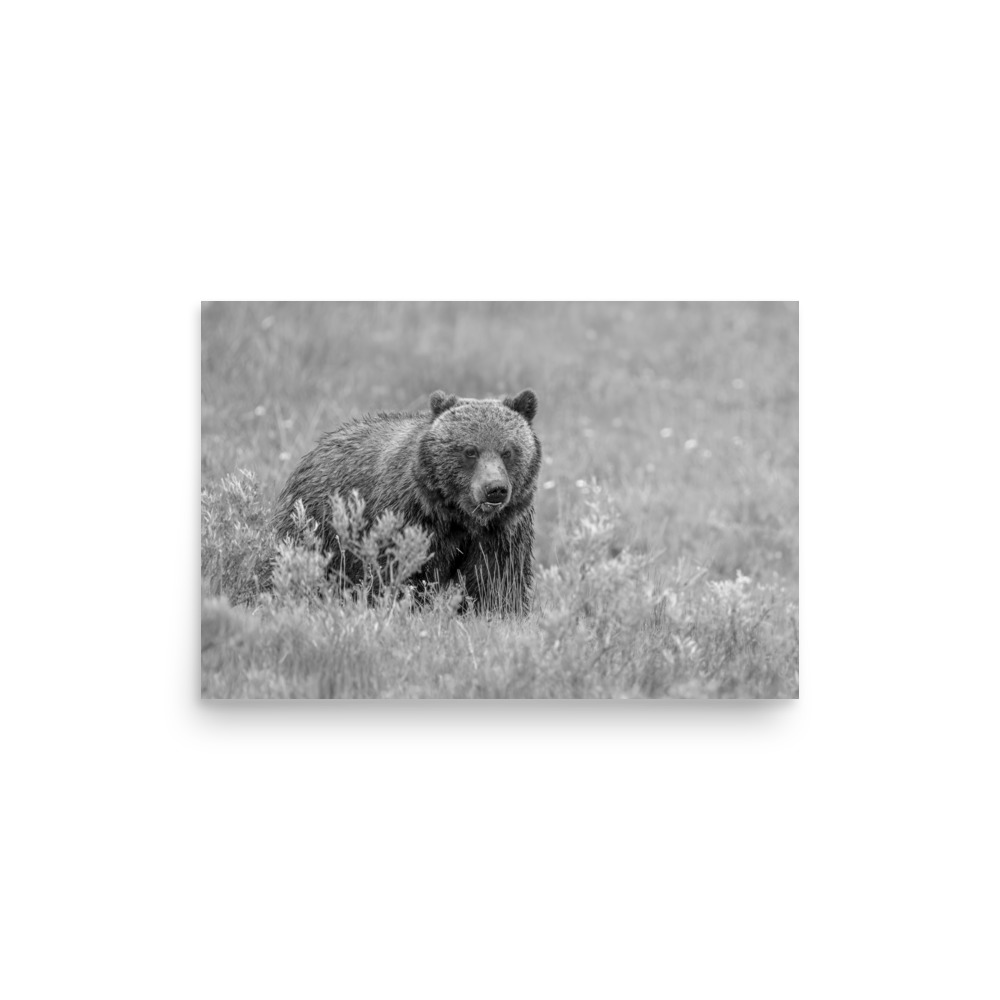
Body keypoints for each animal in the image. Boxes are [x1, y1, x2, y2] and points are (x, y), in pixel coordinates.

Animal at [272, 388, 541, 614]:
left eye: (508, 451)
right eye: (470, 451)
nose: (495, 489)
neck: (458, 515)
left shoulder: (502, 529)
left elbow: (497, 579)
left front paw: (498, 611)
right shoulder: (411, 517)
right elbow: (402, 570)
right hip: (318, 522)